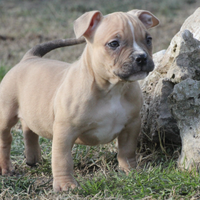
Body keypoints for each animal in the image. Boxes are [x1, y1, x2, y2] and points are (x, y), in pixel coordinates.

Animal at [0, 9, 159, 192]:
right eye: (114, 44)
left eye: (148, 39)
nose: (141, 57)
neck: (113, 88)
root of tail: (29, 57)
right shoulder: (65, 131)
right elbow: (62, 159)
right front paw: (65, 185)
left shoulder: (131, 125)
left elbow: (127, 150)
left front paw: (130, 171)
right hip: (6, 114)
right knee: (5, 140)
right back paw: (6, 168)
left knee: (29, 129)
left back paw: (33, 158)